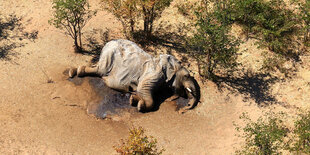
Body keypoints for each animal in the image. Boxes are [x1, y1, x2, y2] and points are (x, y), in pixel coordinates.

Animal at [68, 39, 200, 113]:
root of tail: (108, 42)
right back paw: (75, 72)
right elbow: (143, 89)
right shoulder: (154, 74)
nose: (183, 110)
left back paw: (74, 71)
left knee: (98, 69)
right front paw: (140, 106)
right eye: (187, 76)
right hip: (109, 55)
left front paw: (133, 99)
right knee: (100, 70)